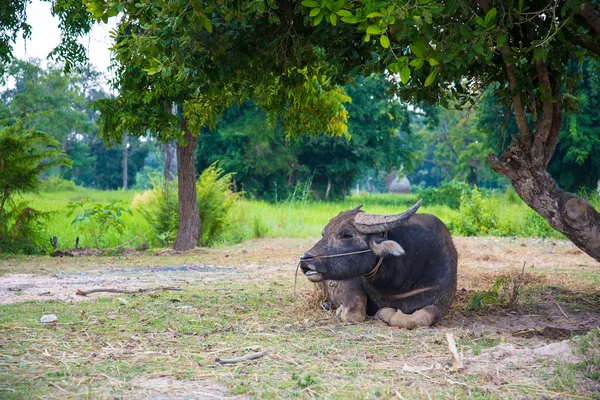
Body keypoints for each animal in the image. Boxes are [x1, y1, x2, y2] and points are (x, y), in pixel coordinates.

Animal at [298, 200, 458, 328]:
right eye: (324, 234)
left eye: (347, 235)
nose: (305, 260)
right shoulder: (349, 282)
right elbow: (354, 312)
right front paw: (340, 310)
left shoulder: (442, 301)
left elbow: (422, 317)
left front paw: (384, 312)